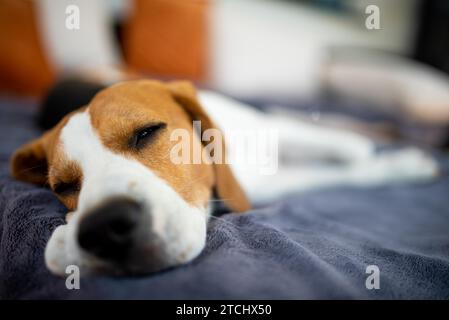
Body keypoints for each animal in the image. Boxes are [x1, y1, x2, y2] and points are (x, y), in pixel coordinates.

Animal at [10, 79, 438, 276]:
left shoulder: (275, 137)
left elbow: (352, 149)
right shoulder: (271, 181)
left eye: (147, 132)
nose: (103, 228)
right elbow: (337, 166)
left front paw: (404, 163)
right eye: (63, 187)